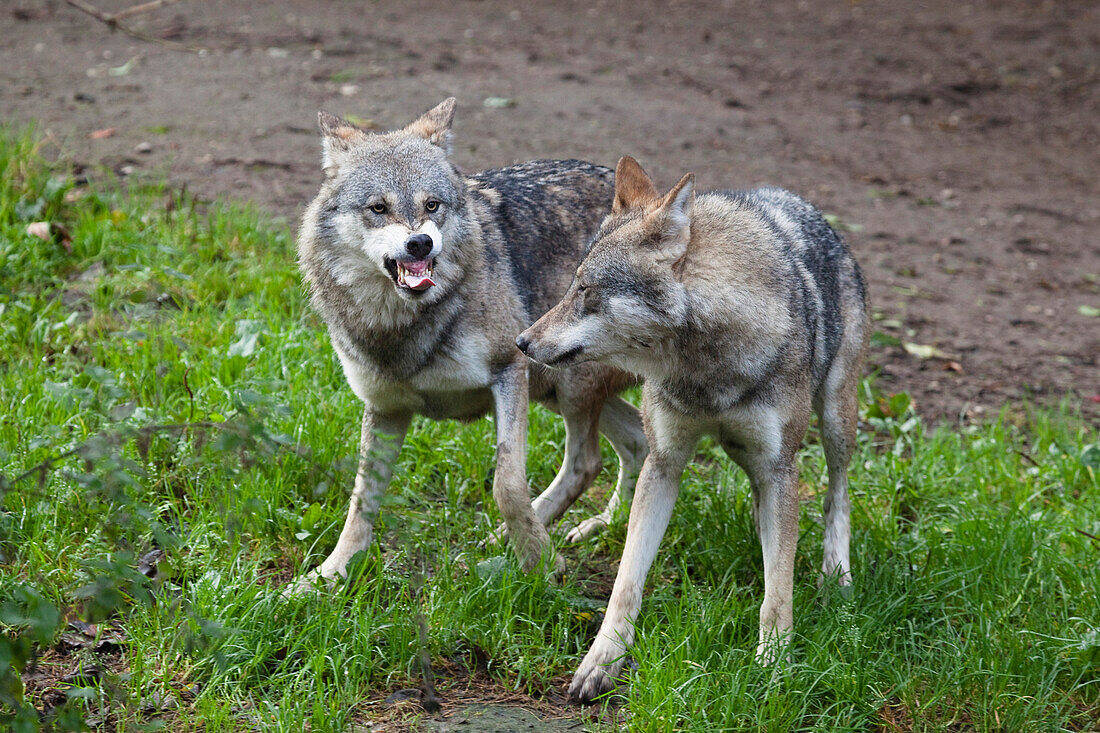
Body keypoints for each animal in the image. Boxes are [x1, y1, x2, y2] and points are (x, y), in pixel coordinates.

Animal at [514, 157, 866, 699]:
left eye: (585, 289)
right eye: (572, 284)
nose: (522, 342)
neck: (707, 371)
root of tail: (807, 207)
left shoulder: (780, 468)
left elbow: (777, 593)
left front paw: (773, 665)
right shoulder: (666, 463)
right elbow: (626, 579)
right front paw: (602, 660)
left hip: (834, 420)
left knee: (836, 496)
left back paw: (836, 575)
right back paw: (600, 524)